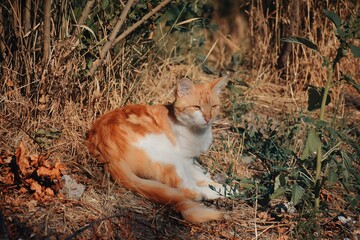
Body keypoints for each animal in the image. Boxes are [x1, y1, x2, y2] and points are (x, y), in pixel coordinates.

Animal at [86, 77, 229, 223]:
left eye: (213, 107)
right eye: (197, 107)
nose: (207, 118)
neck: (197, 132)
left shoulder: (190, 160)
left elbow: (202, 176)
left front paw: (219, 184)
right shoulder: (184, 160)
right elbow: (197, 178)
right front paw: (220, 188)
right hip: (167, 153)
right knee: (186, 190)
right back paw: (216, 193)